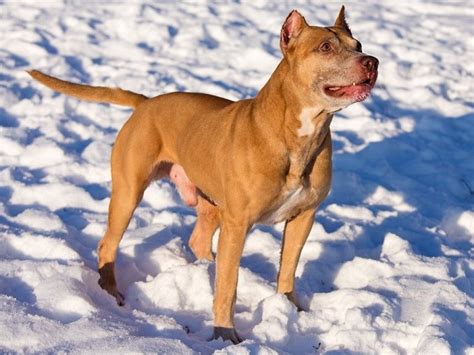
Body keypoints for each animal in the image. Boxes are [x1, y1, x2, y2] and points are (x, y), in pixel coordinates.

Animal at [28, 6, 378, 344]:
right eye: (325, 47)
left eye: (358, 45)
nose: (372, 62)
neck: (298, 134)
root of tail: (146, 103)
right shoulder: (238, 224)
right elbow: (228, 285)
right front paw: (225, 334)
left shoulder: (304, 216)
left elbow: (288, 268)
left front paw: (289, 308)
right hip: (129, 194)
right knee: (109, 244)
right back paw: (112, 292)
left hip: (210, 202)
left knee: (200, 241)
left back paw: (206, 264)